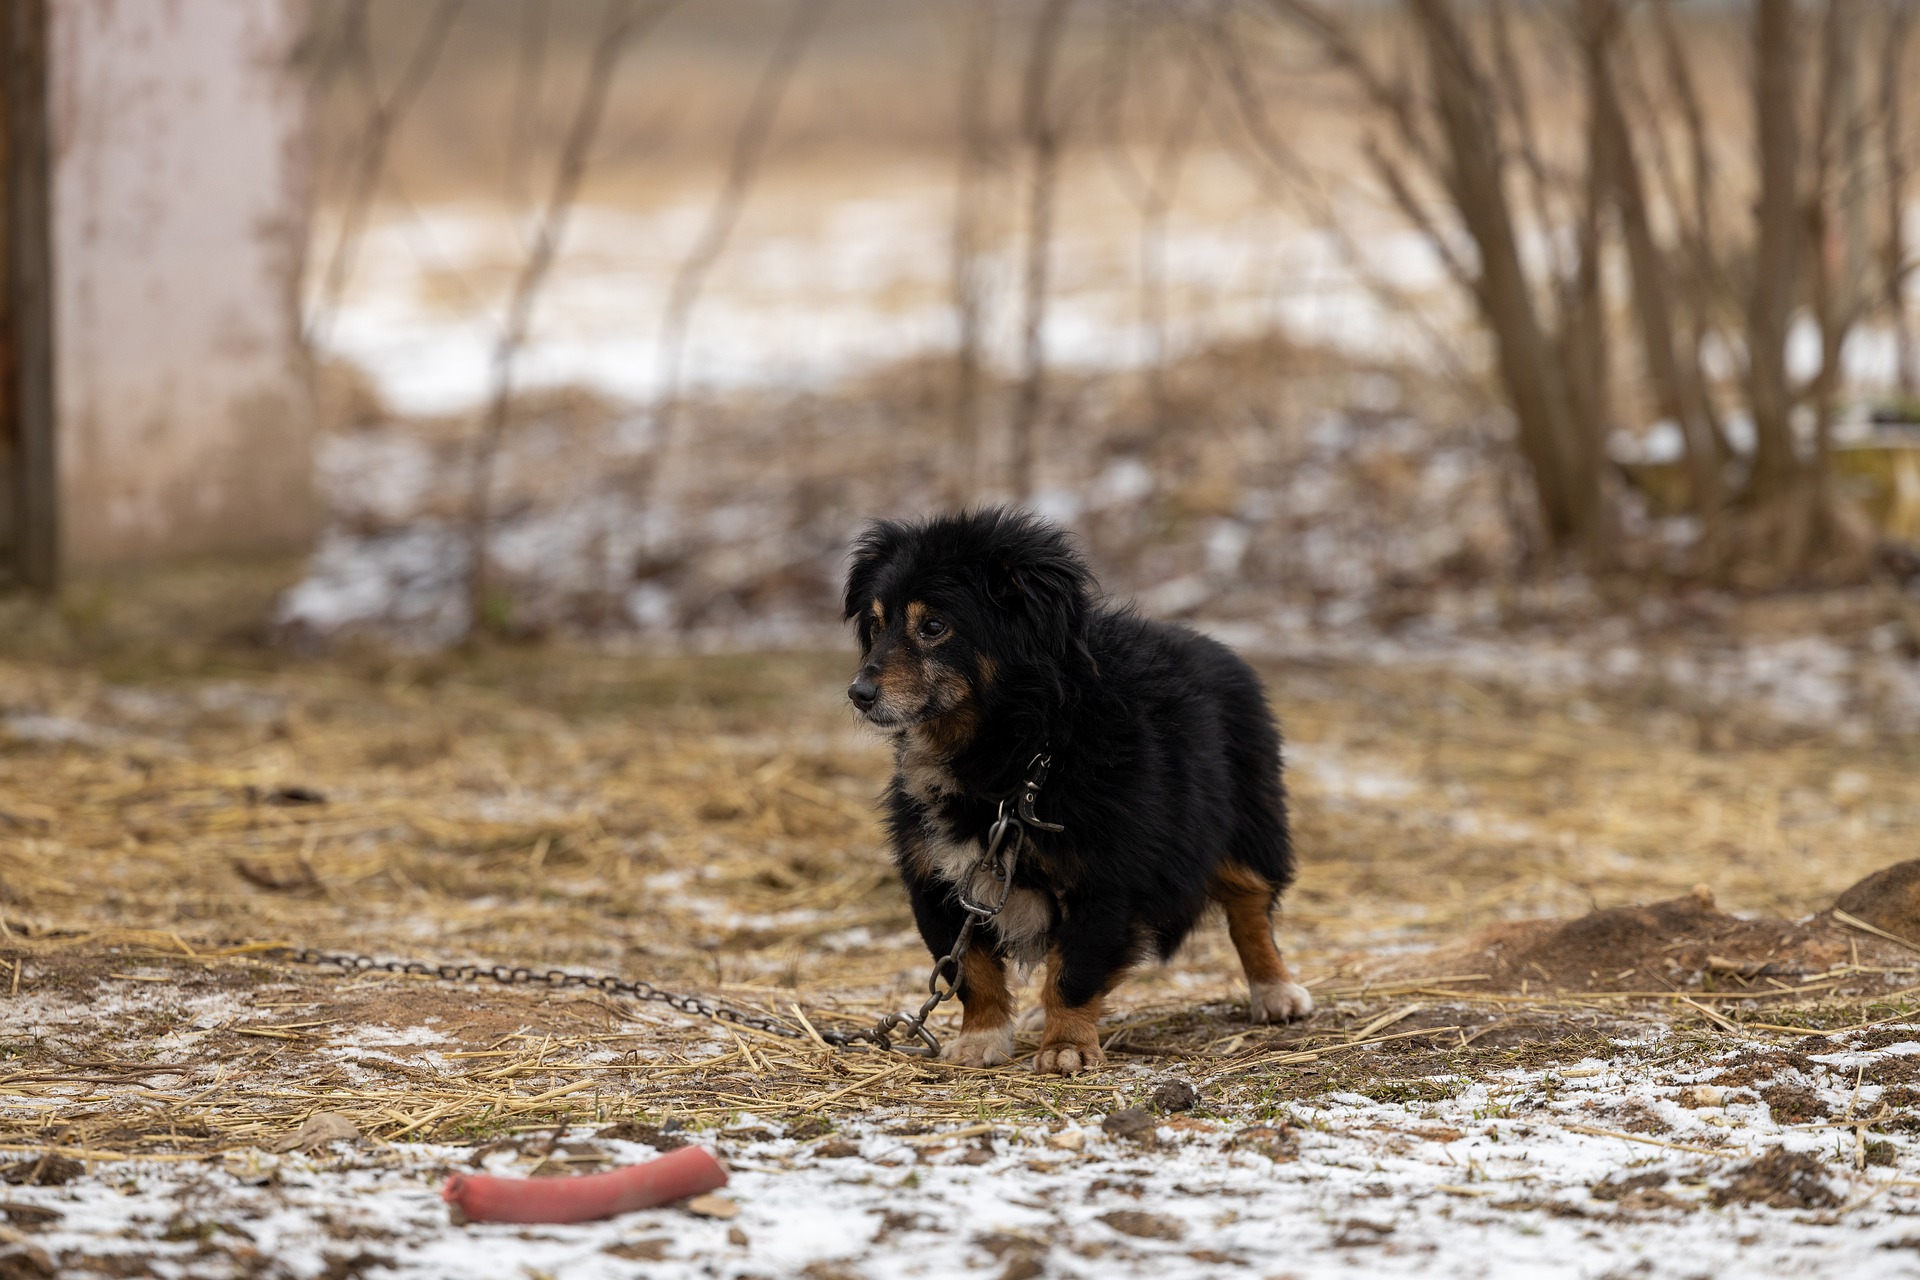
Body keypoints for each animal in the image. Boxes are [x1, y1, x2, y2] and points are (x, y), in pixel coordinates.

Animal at [848, 506, 1313, 1074]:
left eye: (933, 626)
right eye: (876, 625)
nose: (858, 693)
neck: (1019, 755)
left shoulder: (1104, 878)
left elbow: (1075, 970)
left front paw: (1066, 1045)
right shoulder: (936, 881)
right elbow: (970, 970)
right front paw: (982, 1039)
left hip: (1248, 820)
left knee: (1250, 903)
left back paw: (1275, 991)